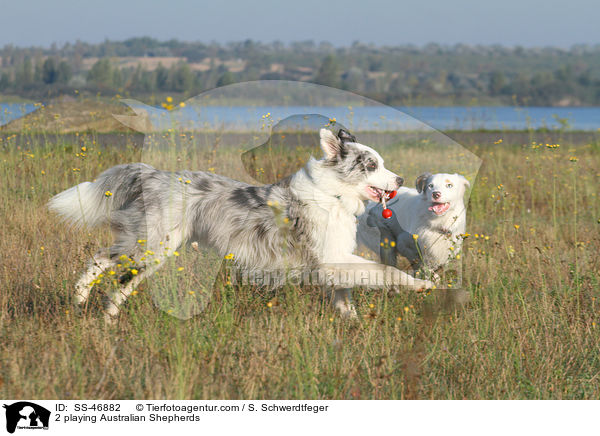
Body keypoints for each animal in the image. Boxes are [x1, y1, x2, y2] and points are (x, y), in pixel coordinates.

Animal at [47, 127, 432, 320]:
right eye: (371, 165)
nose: (400, 180)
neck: (333, 194)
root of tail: (152, 174)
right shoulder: (330, 259)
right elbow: (387, 272)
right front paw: (420, 285)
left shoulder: (332, 262)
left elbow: (345, 296)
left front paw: (350, 321)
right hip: (153, 246)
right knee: (105, 263)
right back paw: (88, 302)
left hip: (151, 248)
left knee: (113, 274)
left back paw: (97, 312)